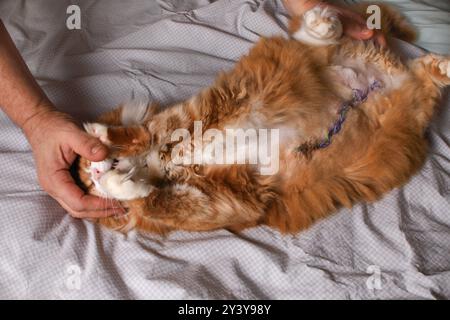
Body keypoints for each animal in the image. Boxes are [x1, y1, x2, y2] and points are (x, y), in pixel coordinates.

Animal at [77, 1, 450, 232]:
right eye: (87, 184)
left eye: (85, 168)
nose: (94, 171)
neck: (162, 165)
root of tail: (387, 76)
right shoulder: (226, 202)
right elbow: (153, 200)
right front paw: (123, 185)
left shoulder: (187, 117)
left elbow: (143, 132)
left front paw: (101, 135)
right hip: (412, 99)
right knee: (427, 71)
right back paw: (442, 65)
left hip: (309, 54)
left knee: (317, 38)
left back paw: (321, 22)